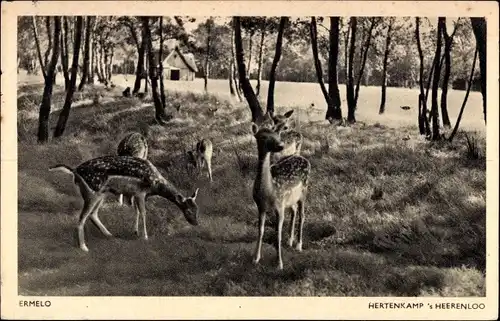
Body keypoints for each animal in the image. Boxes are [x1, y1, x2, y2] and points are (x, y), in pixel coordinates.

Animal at [49, 154, 199, 251]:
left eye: (197, 209)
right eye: (188, 210)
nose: (196, 223)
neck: (155, 184)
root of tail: (74, 171)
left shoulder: (136, 194)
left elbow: (137, 211)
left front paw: (135, 231)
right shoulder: (140, 192)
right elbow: (143, 212)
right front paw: (145, 237)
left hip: (102, 193)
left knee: (93, 214)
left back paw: (109, 235)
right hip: (92, 192)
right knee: (81, 218)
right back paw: (84, 247)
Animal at [252, 121, 310, 268]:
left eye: (276, 134)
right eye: (262, 136)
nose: (281, 145)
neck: (269, 191)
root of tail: (300, 156)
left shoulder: (279, 205)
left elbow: (277, 233)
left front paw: (279, 263)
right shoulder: (260, 206)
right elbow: (260, 230)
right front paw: (256, 258)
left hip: (304, 190)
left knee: (302, 214)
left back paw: (299, 245)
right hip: (290, 199)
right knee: (294, 210)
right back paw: (290, 240)